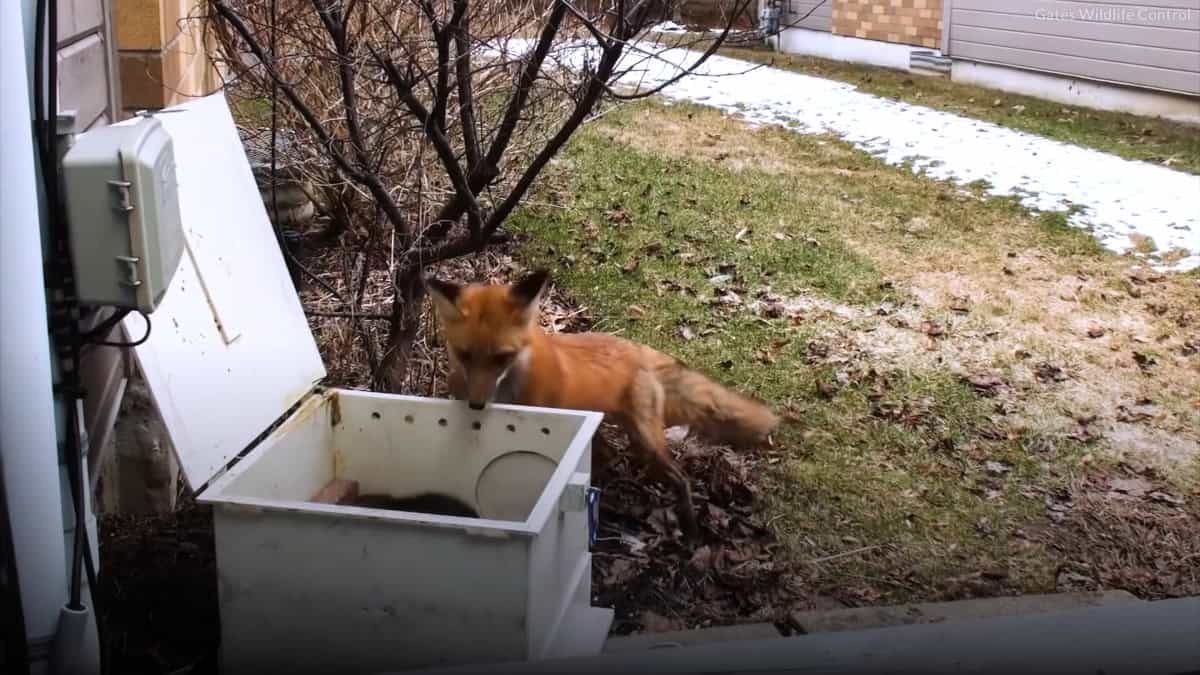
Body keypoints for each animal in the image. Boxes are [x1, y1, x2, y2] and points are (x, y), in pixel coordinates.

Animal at [427, 266, 782, 535]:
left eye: (502, 357)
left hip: (645, 436)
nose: (476, 405)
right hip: (619, 434)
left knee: (679, 478)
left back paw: (689, 525)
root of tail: (641, 350)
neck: (507, 390)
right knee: (614, 457)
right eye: (464, 355)